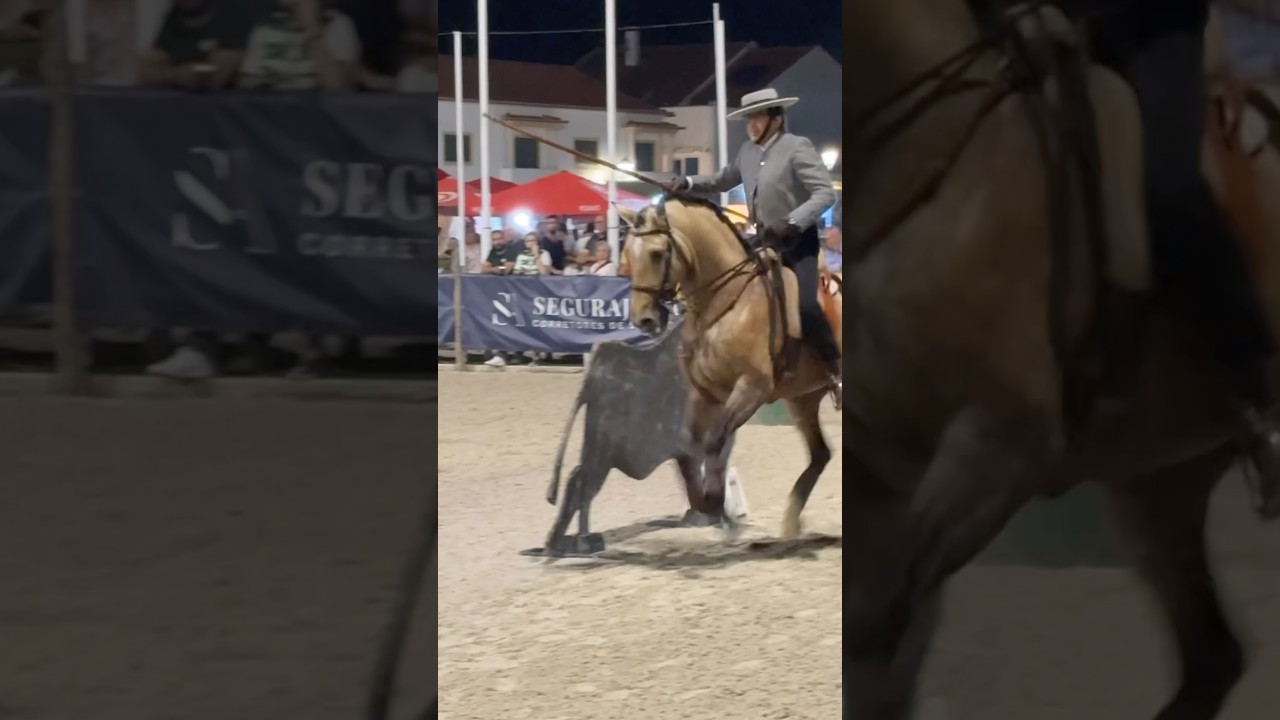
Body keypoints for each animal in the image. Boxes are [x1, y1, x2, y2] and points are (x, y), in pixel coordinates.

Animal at [619, 197, 842, 539]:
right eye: (628, 252)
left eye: (657, 254)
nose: (643, 320)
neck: (727, 302)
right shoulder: (705, 393)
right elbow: (688, 447)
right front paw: (703, 504)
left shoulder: (751, 388)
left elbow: (714, 442)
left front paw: (714, 501)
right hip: (803, 399)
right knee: (820, 454)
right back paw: (791, 523)